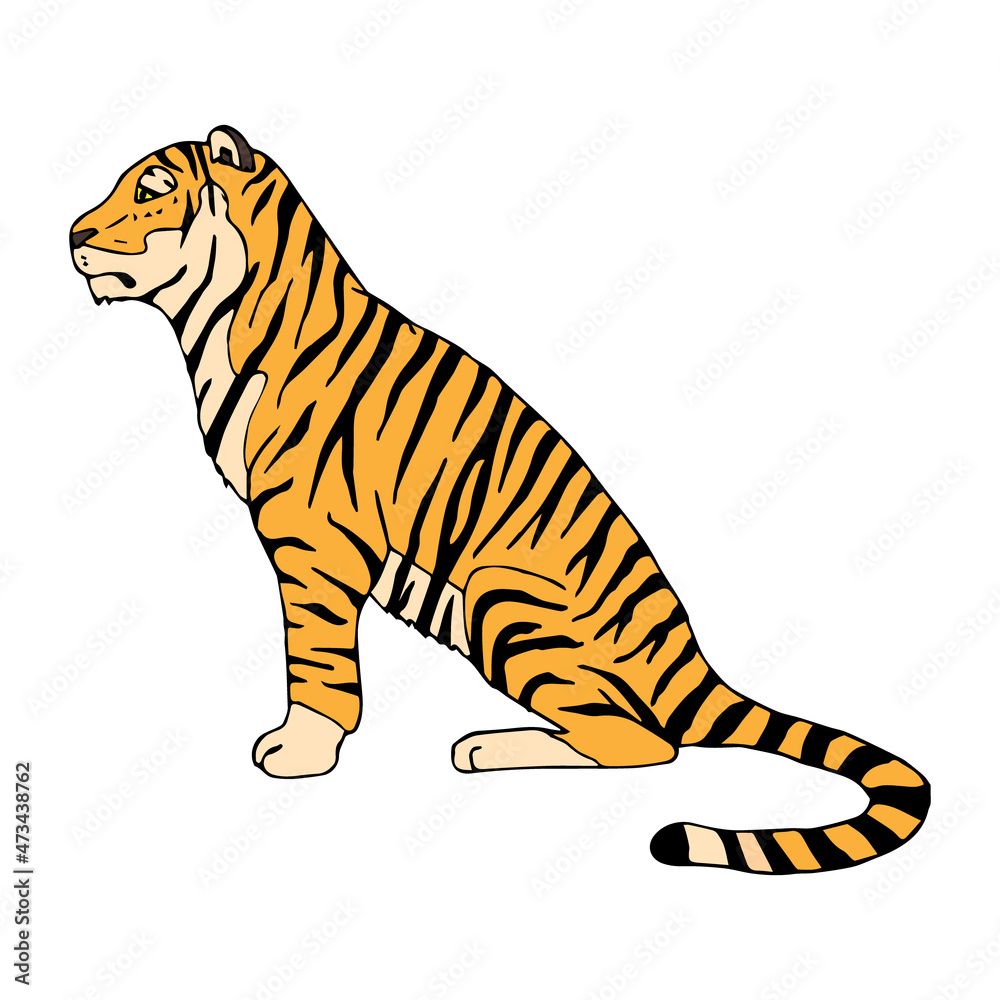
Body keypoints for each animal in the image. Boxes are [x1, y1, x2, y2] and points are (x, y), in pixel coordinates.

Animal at [69, 125, 930, 875]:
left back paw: (485, 745)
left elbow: (314, 655)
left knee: (646, 745)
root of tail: (686, 660)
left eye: (152, 189)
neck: (215, 323)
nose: (73, 235)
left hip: (502, 597)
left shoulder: (312, 538)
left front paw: (302, 751)